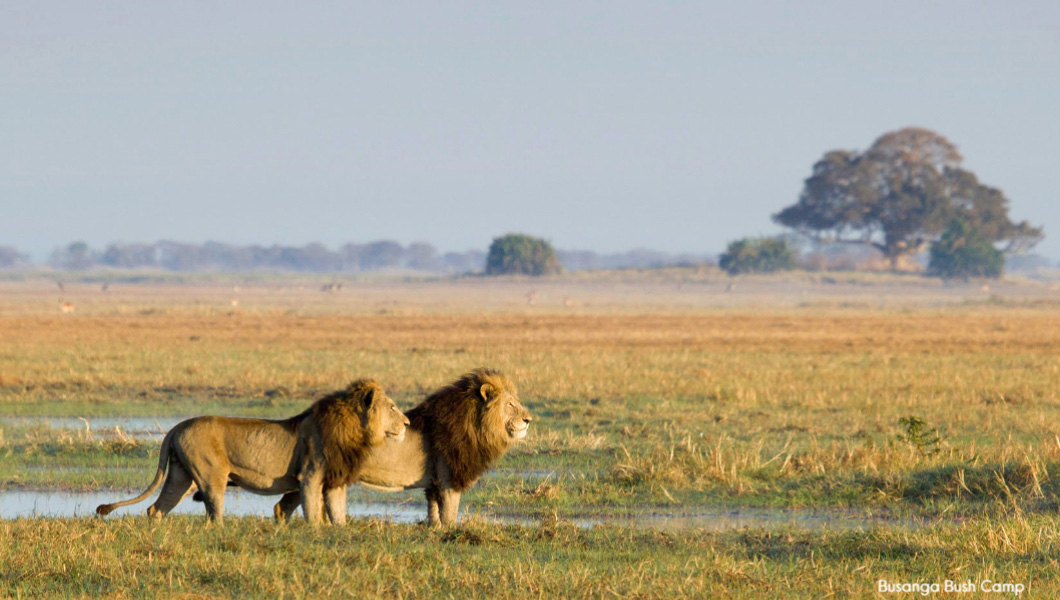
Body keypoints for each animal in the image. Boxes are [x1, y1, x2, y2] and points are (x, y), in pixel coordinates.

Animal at [93, 381, 407, 525]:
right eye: (392, 407)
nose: (406, 423)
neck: (355, 430)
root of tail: (177, 426)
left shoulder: (335, 480)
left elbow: (337, 513)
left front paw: (337, 530)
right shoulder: (310, 475)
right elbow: (313, 512)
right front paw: (316, 532)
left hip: (182, 476)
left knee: (156, 508)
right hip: (210, 475)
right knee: (213, 512)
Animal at [271, 368, 530, 530]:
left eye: (517, 403)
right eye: (510, 405)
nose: (528, 420)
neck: (477, 426)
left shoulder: (435, 481)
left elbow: (434, 510)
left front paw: (434, 530)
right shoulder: (449, 478)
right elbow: (449, 513)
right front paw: (450, 532)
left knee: (284, 504)